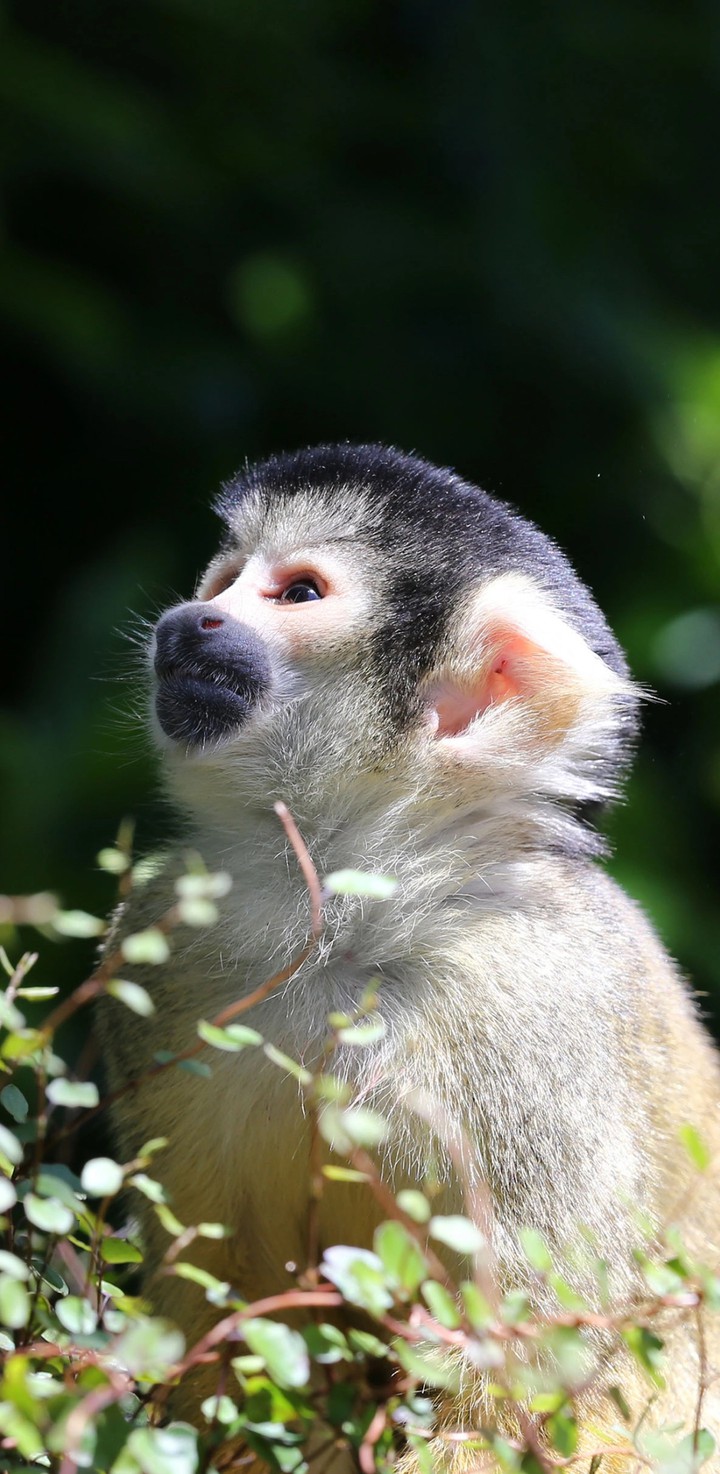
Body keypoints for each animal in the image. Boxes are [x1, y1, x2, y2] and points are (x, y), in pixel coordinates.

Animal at [97, 443, 720, 1470]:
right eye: (226, 580)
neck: (352, 923)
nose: (193, 618)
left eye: (299, 592)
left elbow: (541, 1345)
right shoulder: (166, 934)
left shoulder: (535, 999)